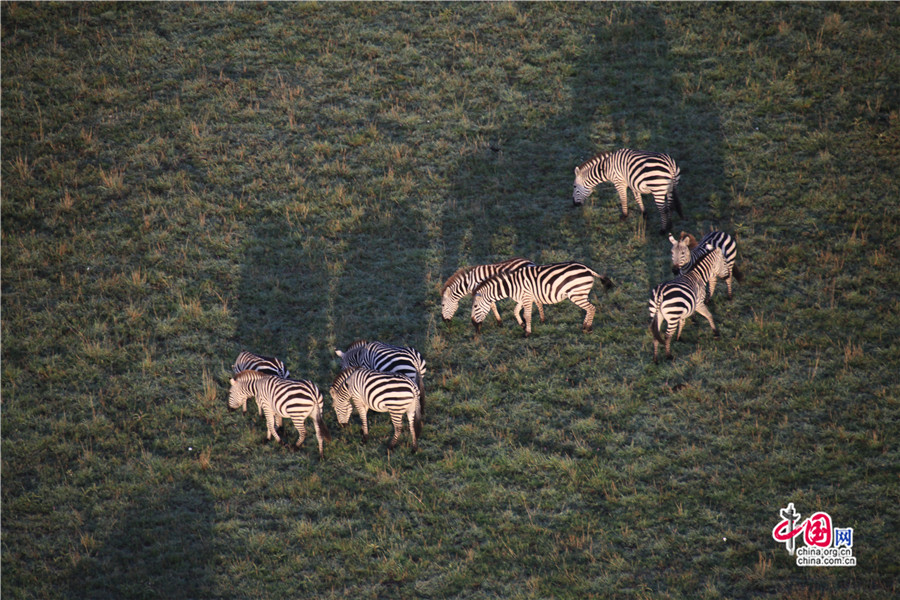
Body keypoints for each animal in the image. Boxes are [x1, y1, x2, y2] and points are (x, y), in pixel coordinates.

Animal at [472, 262, 612, 338]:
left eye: (474, 307)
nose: (474, 327)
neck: (511, 285)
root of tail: (587, 269)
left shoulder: (526, 297)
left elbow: (527, 315)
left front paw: (527, 332)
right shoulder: (524, 298)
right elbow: (516, 311)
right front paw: (522, 325)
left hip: (576, 295)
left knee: (591, 308)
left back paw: (588, 328)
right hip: (582, 294)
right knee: (589, 309)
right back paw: (584, 326)